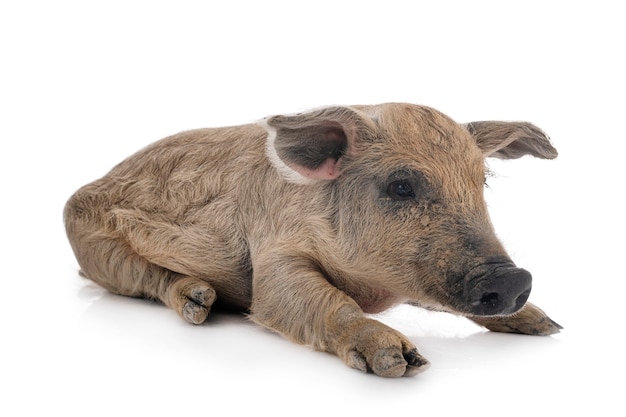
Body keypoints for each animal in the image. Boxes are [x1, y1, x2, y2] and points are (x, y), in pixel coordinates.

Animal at [64, 103, 560, 376]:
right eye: (401, 186)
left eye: (481, 183)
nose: (514, 278)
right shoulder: (274, 254)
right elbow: (310, 299)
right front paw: (401, 361)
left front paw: (547, 326)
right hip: (99, 248)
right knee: (150, 279)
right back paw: (199, 303)